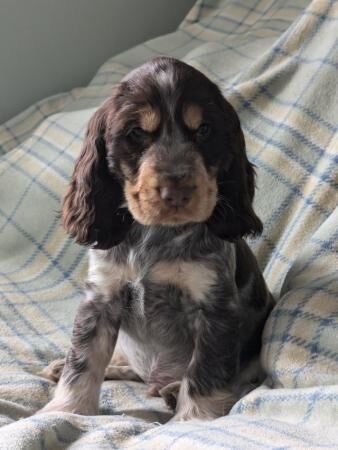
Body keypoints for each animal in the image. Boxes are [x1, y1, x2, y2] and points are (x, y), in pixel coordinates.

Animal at [38, 57, 274, 422]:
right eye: (136, 134)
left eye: (204, 131)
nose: (176, 192)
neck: (155, 234)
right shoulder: (101, 299)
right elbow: (83, 361)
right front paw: (66, 410)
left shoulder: (215, 307)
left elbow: (205, 373)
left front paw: (193, 419)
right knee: (131, 367)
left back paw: (173, 391)